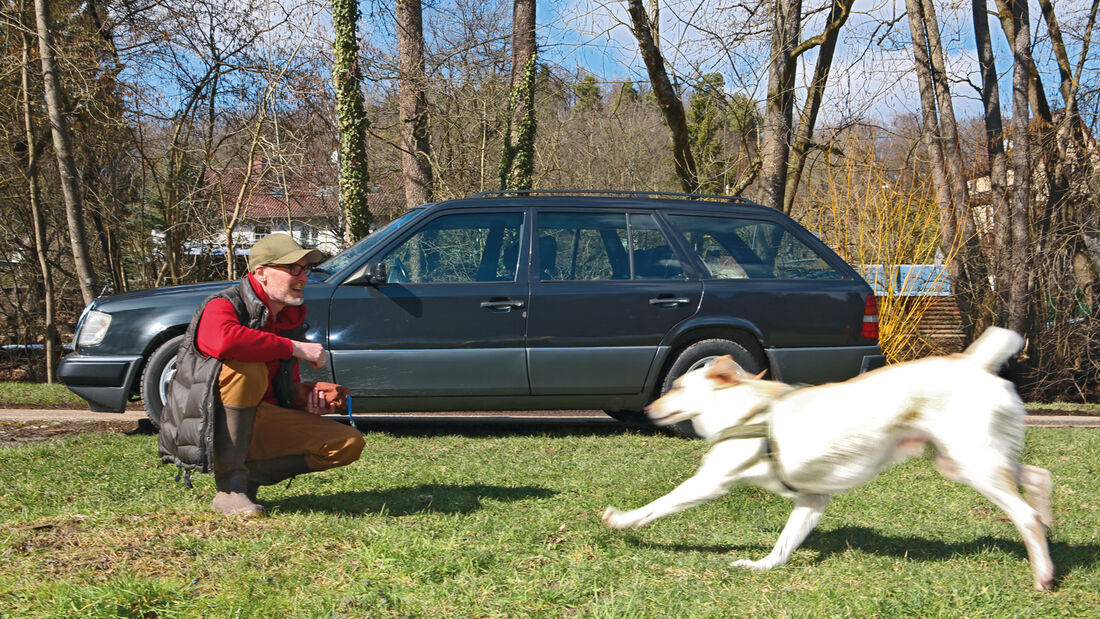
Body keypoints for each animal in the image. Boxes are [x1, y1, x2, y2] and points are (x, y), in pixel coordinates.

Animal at [602, 327, 1056, 593]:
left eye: (678, 386)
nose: (647, 410)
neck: (745, 410)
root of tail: (975, 363)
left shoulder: (711, 480)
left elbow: (657, 506)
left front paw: (622, 520)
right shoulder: (812, 499)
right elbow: (783, 545)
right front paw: (761, 566)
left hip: (974, 463)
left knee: (1025, 515)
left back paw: (1043, 574)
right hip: (961, 461)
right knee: (1038, 475)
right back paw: (1050, 523)